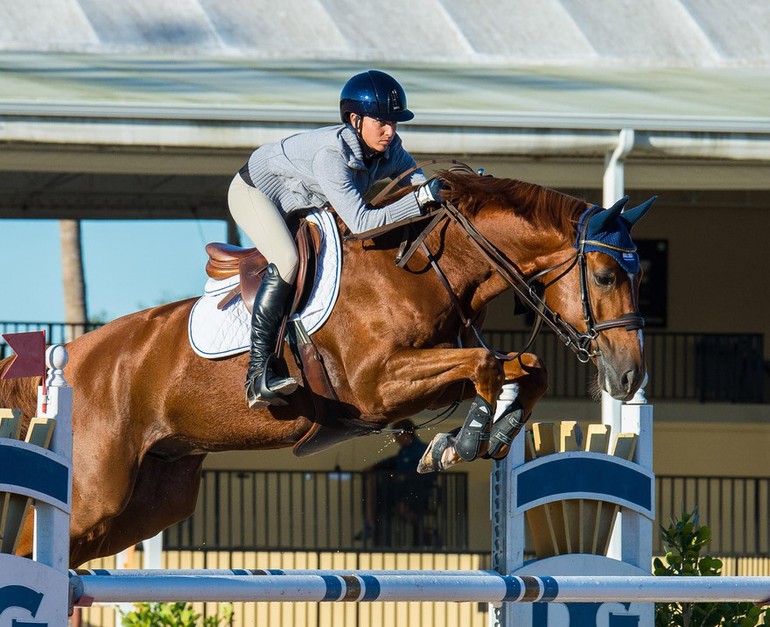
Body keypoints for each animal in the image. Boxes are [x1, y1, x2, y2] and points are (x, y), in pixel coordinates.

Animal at [0, 169, 648, 568]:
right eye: (606, 277)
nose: (630, 378)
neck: (417, 266)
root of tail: (73, 362)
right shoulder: (378, 386)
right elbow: (488, 364)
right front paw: (461, 442)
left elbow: (526, 367)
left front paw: (491, 434)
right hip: (92, 497)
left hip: (146, 503)